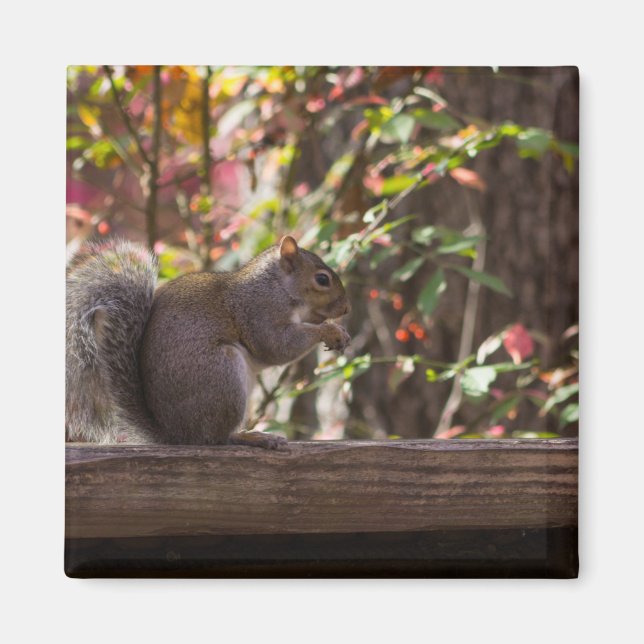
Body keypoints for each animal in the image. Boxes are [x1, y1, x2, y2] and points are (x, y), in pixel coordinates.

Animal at [66, 235, 350, 448]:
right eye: (322, 279)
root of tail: (176, 434)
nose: (345, 309)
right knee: (216, 438)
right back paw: (249, 436)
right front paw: (329, 331)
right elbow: (277, 346)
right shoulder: (259, 312)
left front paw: (338, 330)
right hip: (223, 375)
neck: (277, 286)